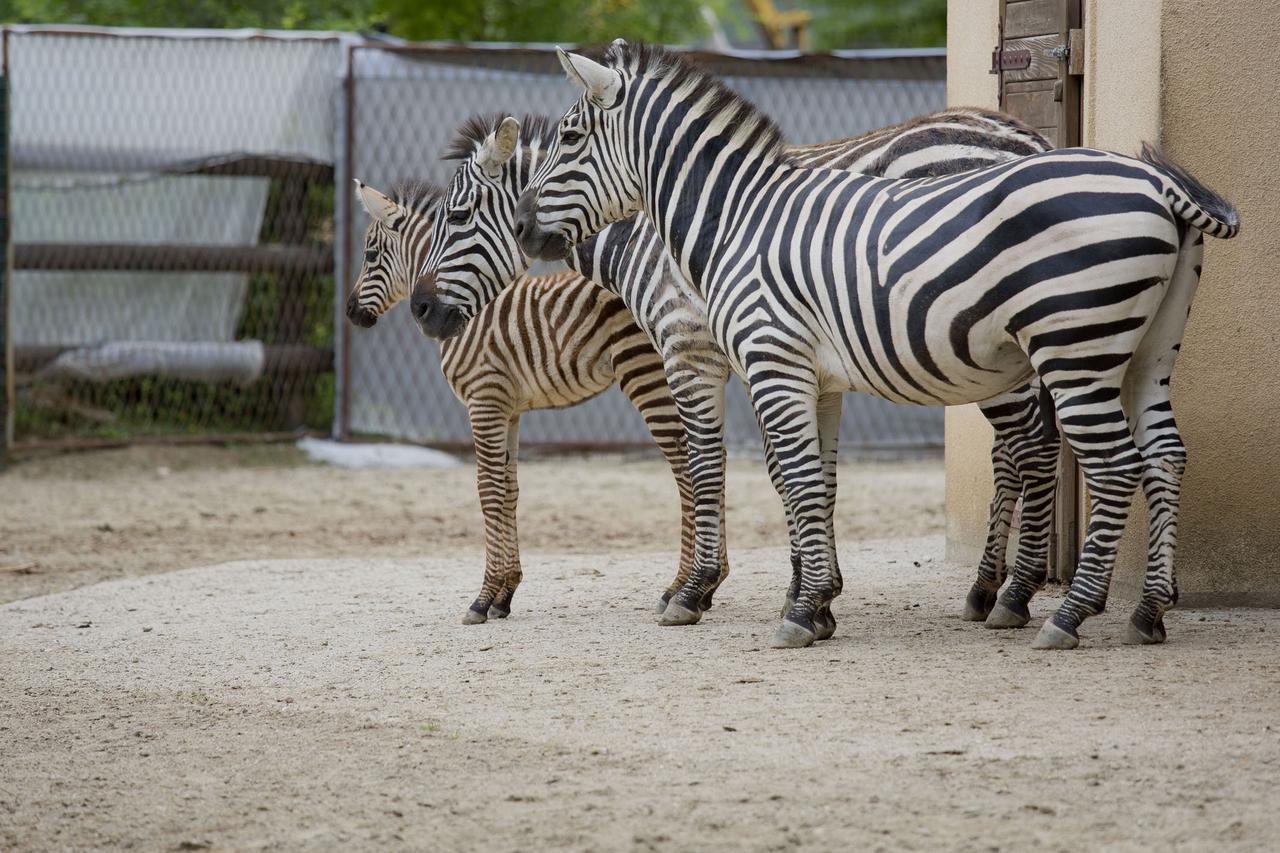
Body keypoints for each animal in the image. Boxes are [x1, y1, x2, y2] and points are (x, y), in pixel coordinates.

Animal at [347, 177, 724, 623]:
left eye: (370, 255)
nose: (350, 312)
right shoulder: (507, 408)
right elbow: (508, 490)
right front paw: (504, 594)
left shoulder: (484, 399)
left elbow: (487, 490)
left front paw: (482, 598)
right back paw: (707, 587)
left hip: (644, 371)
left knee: (687, 468)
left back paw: (681, 589)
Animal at [408, 107, 1059, 639]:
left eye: (458, 216)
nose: (420, 310)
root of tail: (1026, 136)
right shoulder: (781, 361)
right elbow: (796, 473)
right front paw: (808, 592)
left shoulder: (693, 347)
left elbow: (716, 466)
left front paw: (704, 591)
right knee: (1016, 447)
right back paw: (989, 588)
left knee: (1032, 444)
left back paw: (1011, 593)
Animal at [508, 42, 1238, 649]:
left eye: (569, 137)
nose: (521, 227)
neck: (734, 219)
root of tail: (1158, 182)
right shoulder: (817, 378)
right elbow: (816, 479)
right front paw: (818, 599)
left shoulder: (754, 359)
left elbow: (775, 475)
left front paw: (770, 607)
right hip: (1145, 351)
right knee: (1162, 454)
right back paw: (1146, 610)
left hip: (1071, 348)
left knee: (1106, 463)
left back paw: (1061, 612)